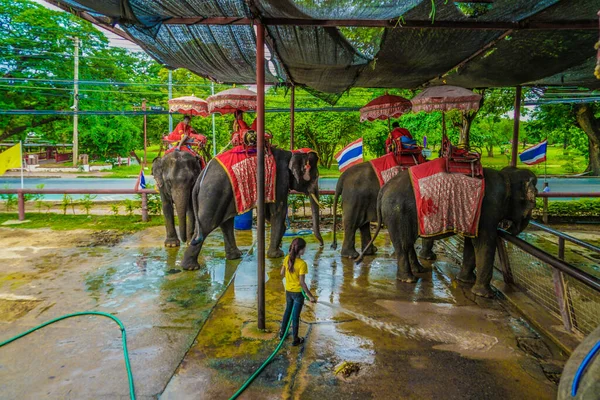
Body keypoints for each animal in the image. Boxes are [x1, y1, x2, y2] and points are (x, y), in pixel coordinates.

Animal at [180, 145, 324, 270]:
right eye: (316, 176)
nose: (321, 245)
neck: (291, 153)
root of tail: (201, 176)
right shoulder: (280, 179)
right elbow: (277, 211)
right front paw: (277, 255)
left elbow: (269, 212)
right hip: (213, 192)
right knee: (208, 224)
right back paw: (191, 267)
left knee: (226, 222)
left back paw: (235, 256)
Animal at [358, 166, 536, 296]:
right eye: (533, 201)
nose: (508, 228)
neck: (506, 177)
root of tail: (384, 189)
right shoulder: (488, 208)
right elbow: (485, 242)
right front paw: (486, 295)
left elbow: (471, 242)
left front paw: (465, 281)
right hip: (397, 212)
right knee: (403, 244)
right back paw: (409, 279)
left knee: (407, 243)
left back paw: (419, 271)